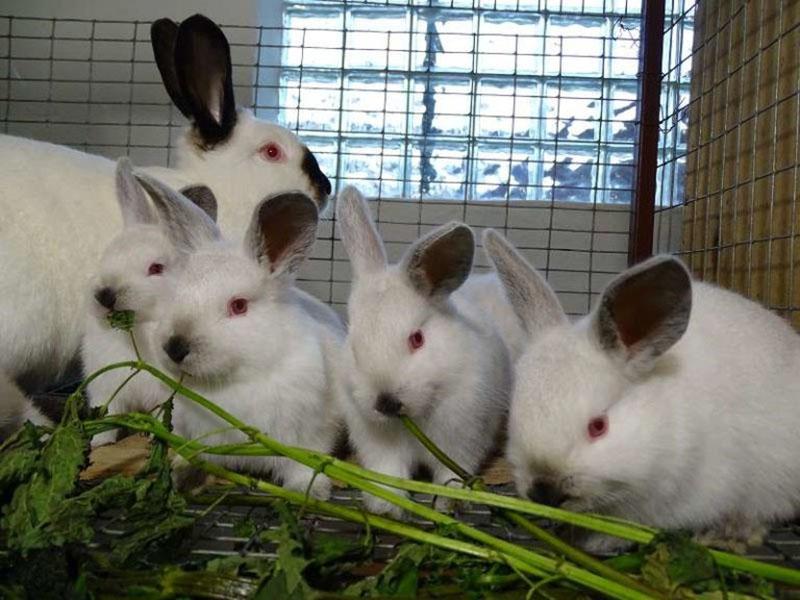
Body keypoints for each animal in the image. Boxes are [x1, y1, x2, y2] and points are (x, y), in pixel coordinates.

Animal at [82, 157, 219, 448]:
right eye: (106, 256)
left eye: (156, 268)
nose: (105, 295)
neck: (138, 329)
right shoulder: (106, 389)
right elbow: (108, 415)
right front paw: (99, 442)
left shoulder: (170, 398)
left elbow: (166, 419)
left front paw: (156, 437)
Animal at [332, 188, 520, 516]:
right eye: (354, 345)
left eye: (417, 339)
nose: (386, 402)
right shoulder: (379, 446)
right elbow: (389, 473)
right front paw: (386, 506)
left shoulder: (462, 439)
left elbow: (450, 474)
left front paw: (448, 503)